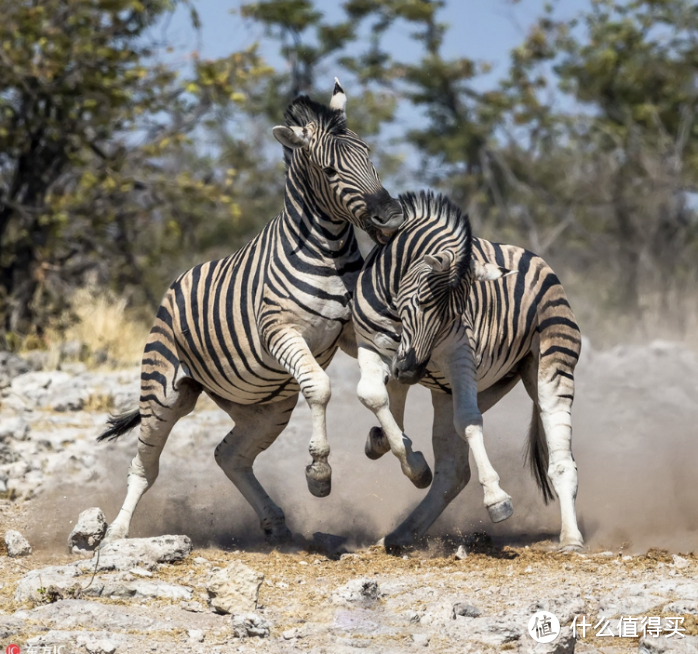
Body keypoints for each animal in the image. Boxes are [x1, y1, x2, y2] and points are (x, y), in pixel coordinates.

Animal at [95, 80, 406, 544]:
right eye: (330, 172)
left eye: (370, 156)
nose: (391, 217)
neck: (330, 250)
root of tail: (175, 284)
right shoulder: (281, 331)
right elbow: (321, 388)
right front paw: (319, 473)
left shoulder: (353, 331)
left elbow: (377, 388)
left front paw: (398, 450)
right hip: (164, 392)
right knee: (145, 466)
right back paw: (116, 532)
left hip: (265, 407)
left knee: (231, 456)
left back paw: (274, 520)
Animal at [350, 190, 584, 552]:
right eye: (420, 301)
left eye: (456, 315)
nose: (410, 371)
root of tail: (534, 258)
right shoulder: (371, 345)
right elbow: (374, 396)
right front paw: (399, 451)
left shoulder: (458, 353)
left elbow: (470, 423)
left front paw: (497, 499)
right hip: (462, 390)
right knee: (453, 471)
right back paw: (401, 532)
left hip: (549, 367)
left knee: (560, 460)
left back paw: (571, 538)